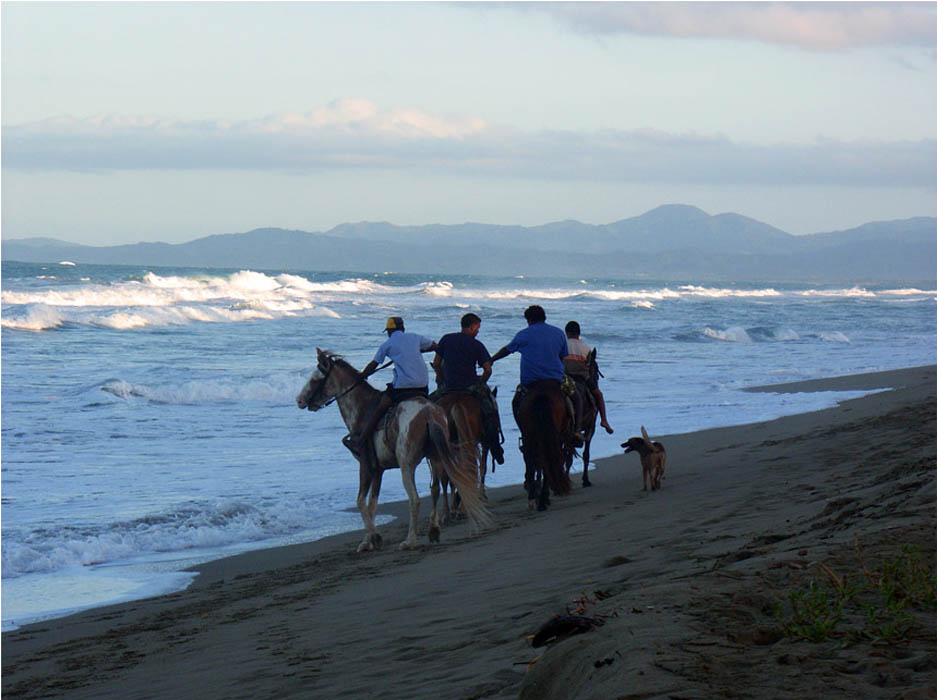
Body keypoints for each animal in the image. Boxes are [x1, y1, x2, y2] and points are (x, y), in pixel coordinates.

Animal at [298, 350, 490, 552]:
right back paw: (433, 530)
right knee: (436, 489)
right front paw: (368, 540)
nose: (300, 400)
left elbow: (361, 502)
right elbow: (372, 504)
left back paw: (410, 540)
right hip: (436, 458)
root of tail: (428, 413)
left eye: (315, 379)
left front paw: (373, 538)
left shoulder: (365, 466)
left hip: (406, 464)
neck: (361, 409)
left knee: (415, 499)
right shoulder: (378, 470)